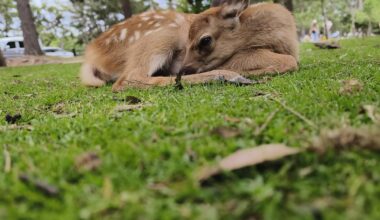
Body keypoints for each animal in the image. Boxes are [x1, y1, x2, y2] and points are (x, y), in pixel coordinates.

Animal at [81, 0, 298, 91]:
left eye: (205, 40)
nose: (184, 68)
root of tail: (92, 55)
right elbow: (290, 62)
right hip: (163, 36)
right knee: (128, 79)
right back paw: (229, 77)